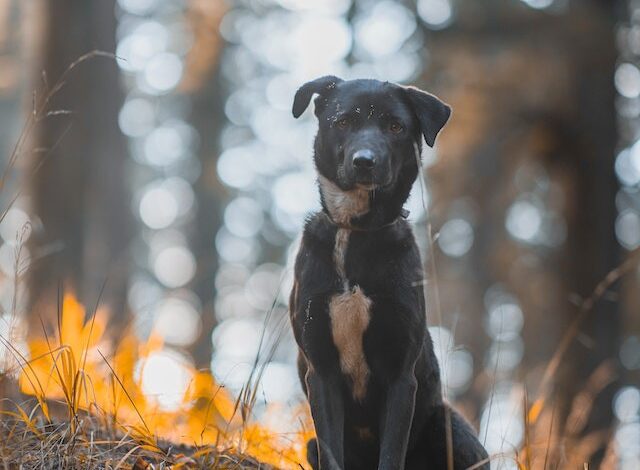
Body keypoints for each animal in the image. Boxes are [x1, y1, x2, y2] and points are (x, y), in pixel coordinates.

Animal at [288, 75, 488, 468]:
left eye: (395, 127)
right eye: (343, 121)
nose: (365, 162)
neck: (357, 230)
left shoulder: (401, 375)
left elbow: (392, 452)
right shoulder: (321, 371)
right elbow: (333, 452)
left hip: (454, 430)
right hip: (310, 445)